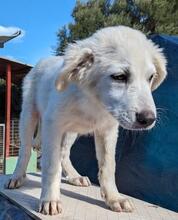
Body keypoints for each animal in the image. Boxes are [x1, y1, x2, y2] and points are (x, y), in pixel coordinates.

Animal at [5, 25, 167, 215]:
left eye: (150, 77)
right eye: (119, 76)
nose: (148, 119)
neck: (93, 102)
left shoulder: (108, 131)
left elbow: (108, 166)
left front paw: (114, 198)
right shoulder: (53, 126)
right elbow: (51, 166)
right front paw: (50, 199)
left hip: (71, 131)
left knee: (64, 153)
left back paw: (74, 176)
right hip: (29, 115)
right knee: (25, 150)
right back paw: (17, 176)